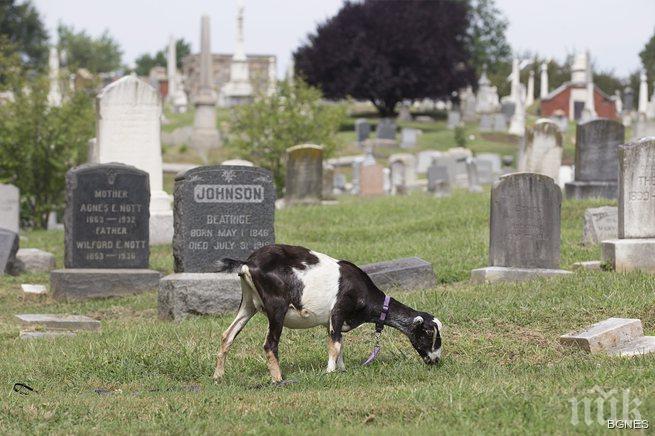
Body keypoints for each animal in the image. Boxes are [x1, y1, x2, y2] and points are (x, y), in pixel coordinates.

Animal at [213, 244, 444, 384]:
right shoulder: (338, 311)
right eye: (428, 333)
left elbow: (338, 344)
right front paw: (330, 373)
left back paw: (218, 377)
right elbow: (336, 346)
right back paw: (279, 380)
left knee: (227, 335)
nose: (436, 360)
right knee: (270, 344)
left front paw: (341, 370)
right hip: (276, 308)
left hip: (248, 304)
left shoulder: (331, 322)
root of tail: (248, 263)